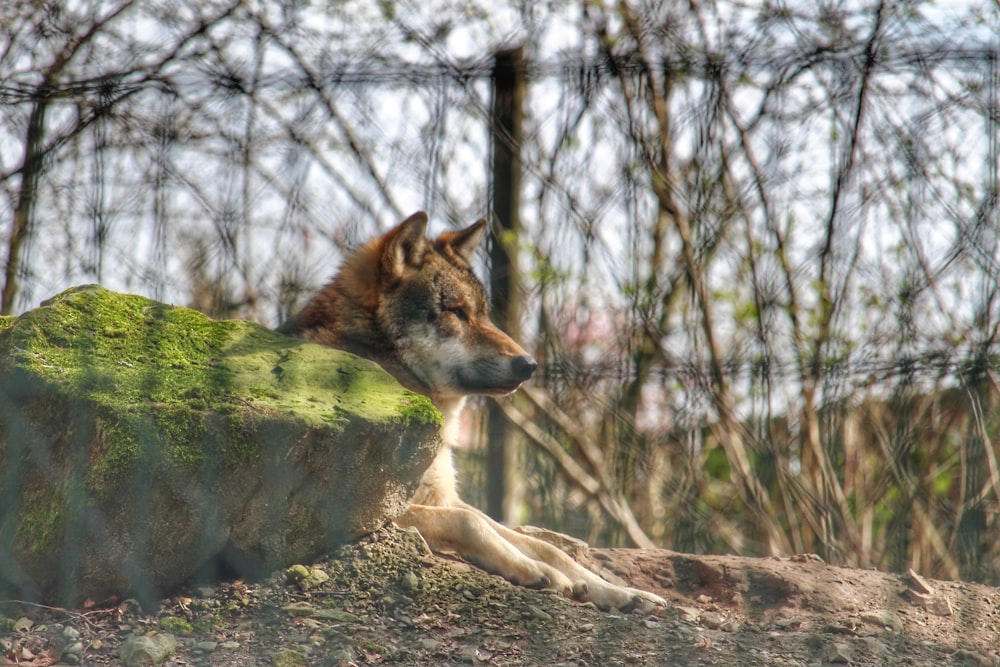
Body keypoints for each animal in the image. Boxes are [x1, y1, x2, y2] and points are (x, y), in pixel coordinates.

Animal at [280, 211, 664, 612]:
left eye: (483, 314)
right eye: (457, 312)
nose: (529, 364)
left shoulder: (443, 497)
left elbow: (541, 544)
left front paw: (620, 592)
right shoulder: (369, 510)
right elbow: (470, 522)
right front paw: (541, 573)